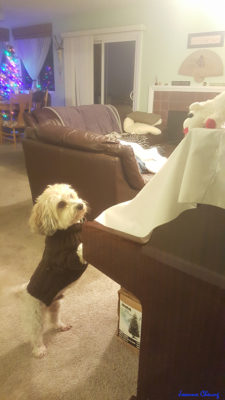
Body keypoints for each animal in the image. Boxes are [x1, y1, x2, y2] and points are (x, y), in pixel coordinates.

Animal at [19, 183, 88, 358]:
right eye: (61, 204)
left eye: (71, 195)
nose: (80, 205)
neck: (67, 231)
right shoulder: (64, 261)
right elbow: (78, 254)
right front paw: (83, 248)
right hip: (36, 315)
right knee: (35, 334)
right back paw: (39, 349)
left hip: (57, 305)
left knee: (54, 320)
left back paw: (60, 326)